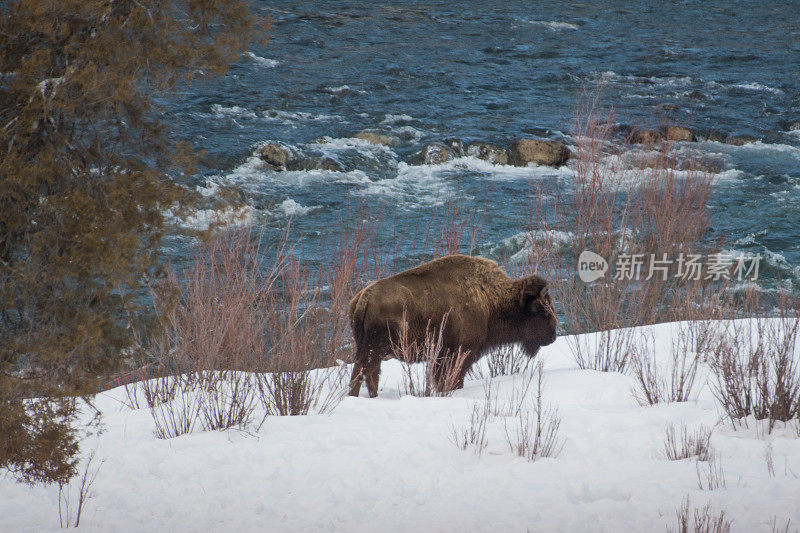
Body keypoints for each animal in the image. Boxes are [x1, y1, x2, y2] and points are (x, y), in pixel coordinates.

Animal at [346, 256, 560, 396]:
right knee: (361, 374)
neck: (490, 300)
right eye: (544, 311)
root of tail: (364, 297)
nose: (553, 336)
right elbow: (452, 379)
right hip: (374, 350)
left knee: (370, 376)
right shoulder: (458, 354)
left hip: (372, 351)